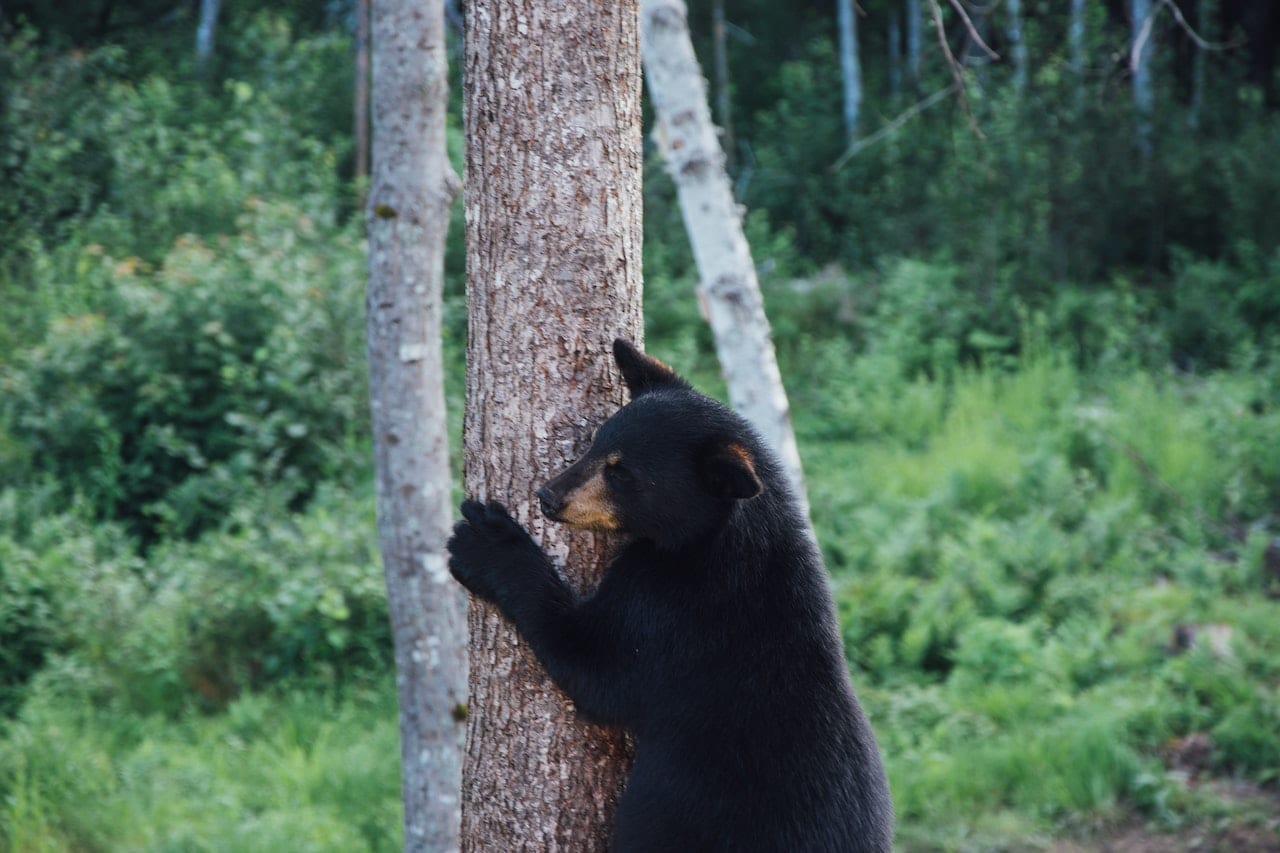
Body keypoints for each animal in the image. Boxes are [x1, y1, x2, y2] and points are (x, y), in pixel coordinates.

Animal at [448, 340, 890, 850]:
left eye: (623, 474)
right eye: (596, 442)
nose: (548, 496)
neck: (713, 539)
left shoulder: (676, 612)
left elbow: (597, 667)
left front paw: (485, 543)